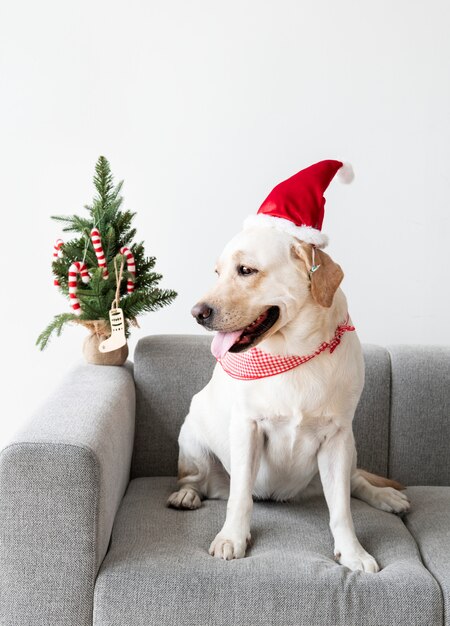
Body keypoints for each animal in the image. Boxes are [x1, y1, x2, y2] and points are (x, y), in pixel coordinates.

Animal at [167, 161, 410, 572]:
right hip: (194, 436)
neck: (294, 352)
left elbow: (341, 510)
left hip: (348, 450)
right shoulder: (247, 428)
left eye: (246, 270)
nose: (197, 313)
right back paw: (186, 495)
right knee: (198, 480)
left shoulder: (337, 438)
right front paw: (232, 539)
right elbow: (240, 498)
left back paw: (386, 497)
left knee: (356, 482)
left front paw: (354, 552)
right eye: (217, 273)